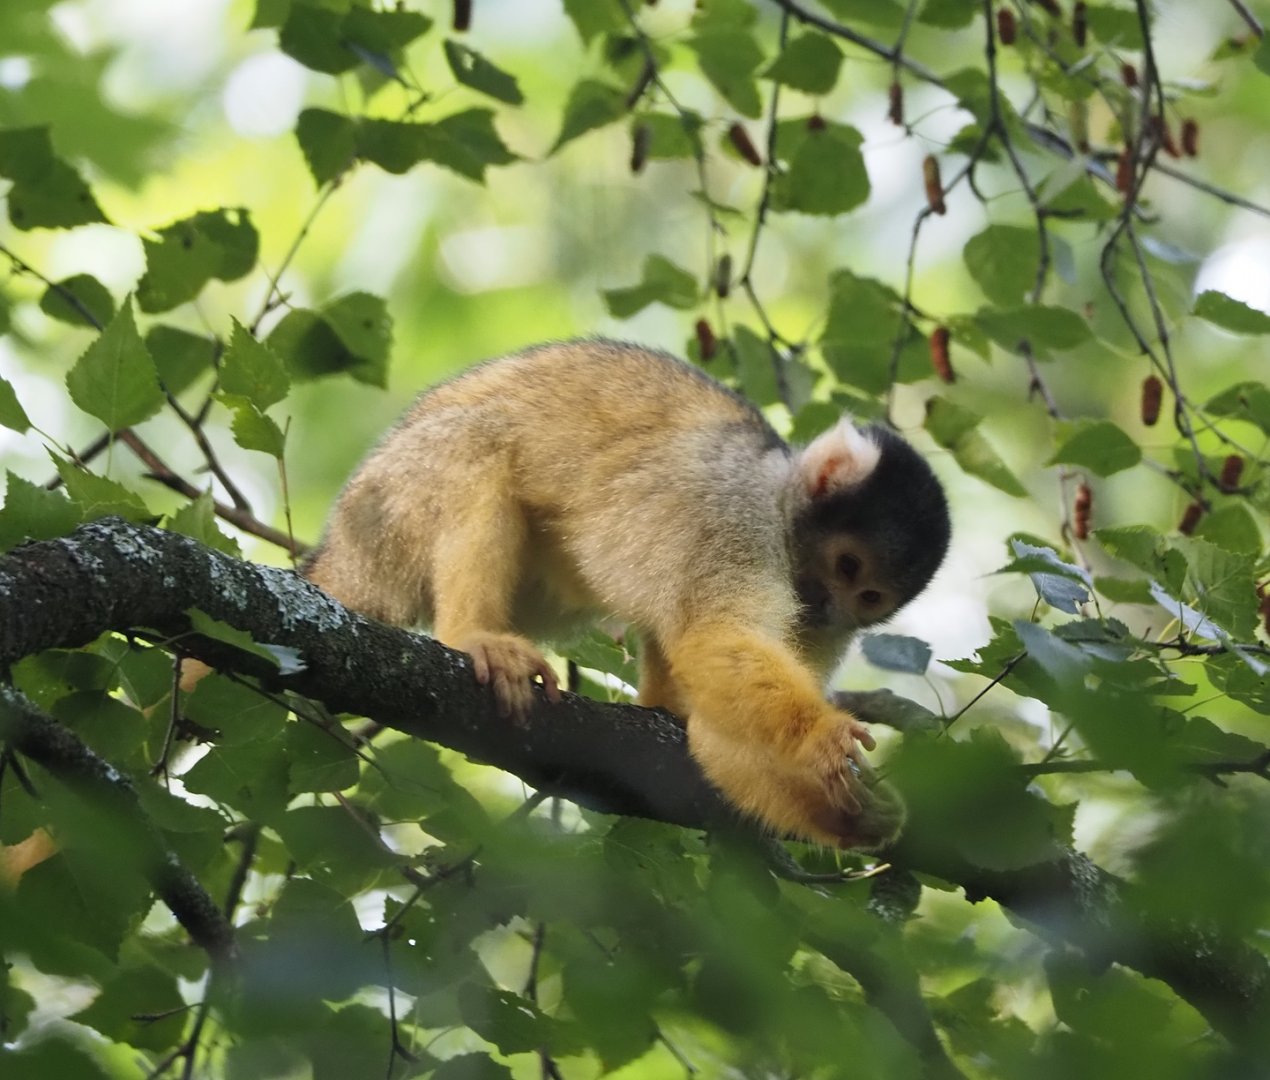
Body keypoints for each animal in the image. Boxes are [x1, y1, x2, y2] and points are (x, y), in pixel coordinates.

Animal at [304, 339, 950, 849]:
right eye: (846, 564)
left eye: (869, 596)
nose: (826, 607)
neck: (779, 499)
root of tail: (338, 550)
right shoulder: (735, 511)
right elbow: (713, 635)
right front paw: (823, 736)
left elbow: (713, 732)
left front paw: (845, 814)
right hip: (388, 507)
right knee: (476, 439)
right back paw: (473, 634)